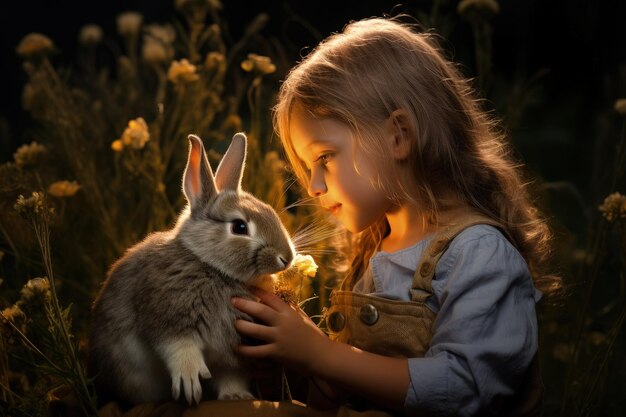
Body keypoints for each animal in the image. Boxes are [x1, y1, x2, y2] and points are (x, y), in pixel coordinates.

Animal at [88, 133, 294, 406]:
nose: (287, 259)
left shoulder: (231, 353)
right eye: (239, 227)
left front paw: (236, 396)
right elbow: (179, 348)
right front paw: (190, 382)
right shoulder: (169, 316)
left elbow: (231, 374)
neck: (211, 266)